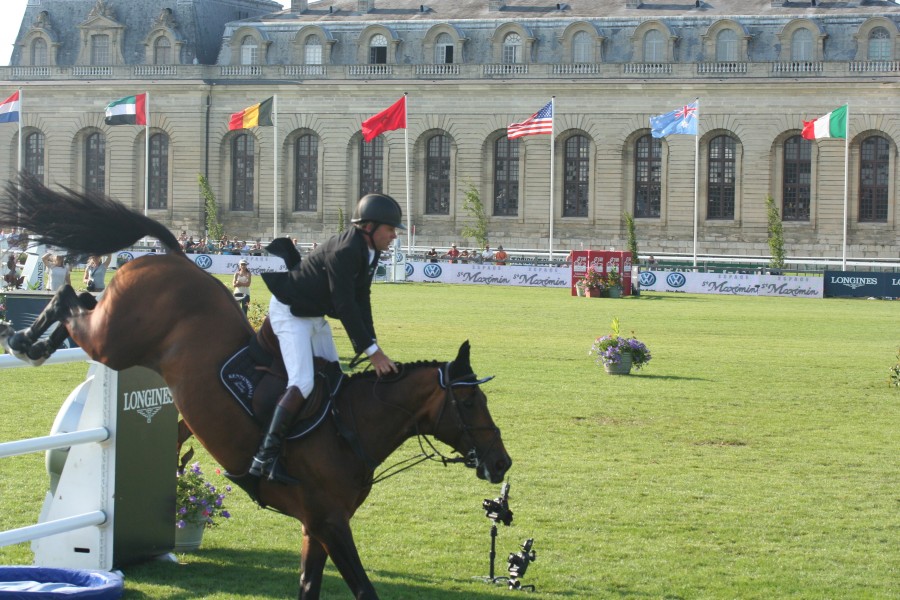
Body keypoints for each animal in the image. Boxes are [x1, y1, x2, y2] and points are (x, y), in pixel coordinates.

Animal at [0, 176, 512, 596]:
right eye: (469, 400)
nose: (502, 463)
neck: (351, 427)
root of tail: (174, 257)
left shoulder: (316, 526)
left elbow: (308, 586)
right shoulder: (330, 521)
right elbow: (364, 589)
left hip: (116, 336)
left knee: (81, 300)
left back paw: (33, 343)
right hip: (114, 342)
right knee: (68, 297)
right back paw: (25, 342)